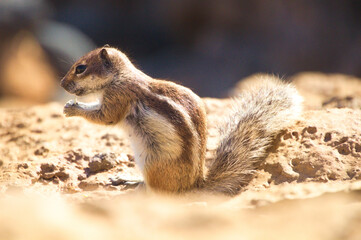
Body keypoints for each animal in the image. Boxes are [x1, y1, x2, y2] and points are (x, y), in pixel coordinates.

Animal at [60, 46, 302, 196]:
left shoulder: (118, 96)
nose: (62, 84)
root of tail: (194, 186)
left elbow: (105, 118)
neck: (119, 76)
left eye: (80, 68)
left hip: (152, 164)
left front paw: (73, 108)